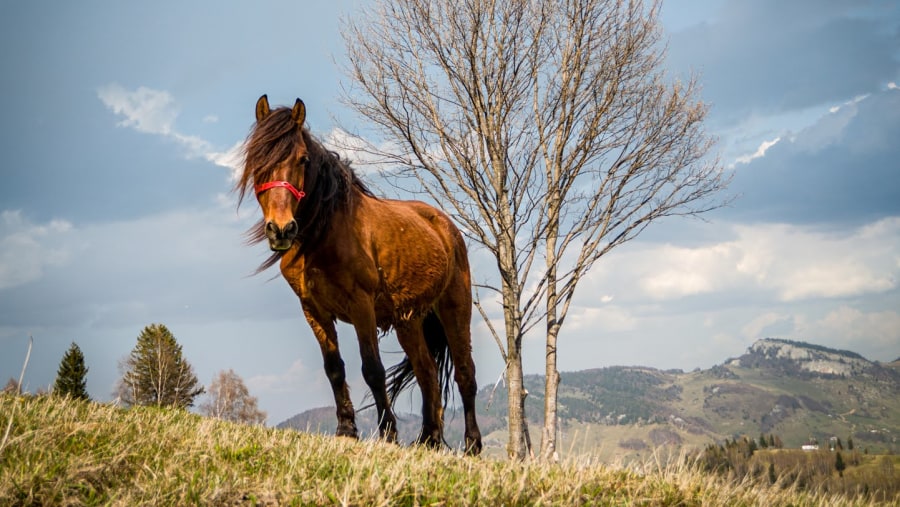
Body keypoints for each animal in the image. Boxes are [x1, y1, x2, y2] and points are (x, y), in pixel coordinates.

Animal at [236, 95, 482, 456]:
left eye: (302, 159)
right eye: (257, 158)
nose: (281, 229)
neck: (324, 234)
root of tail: (444, 226)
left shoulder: (361, 306)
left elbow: (373, 370)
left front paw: (388, 433)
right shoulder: (314, 310)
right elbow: (334, 369)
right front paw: (346, 430)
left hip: (454, 308)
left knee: (465, 374)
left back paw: (473, 445)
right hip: (409, 322)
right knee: (427, 372)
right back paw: (429, 440)